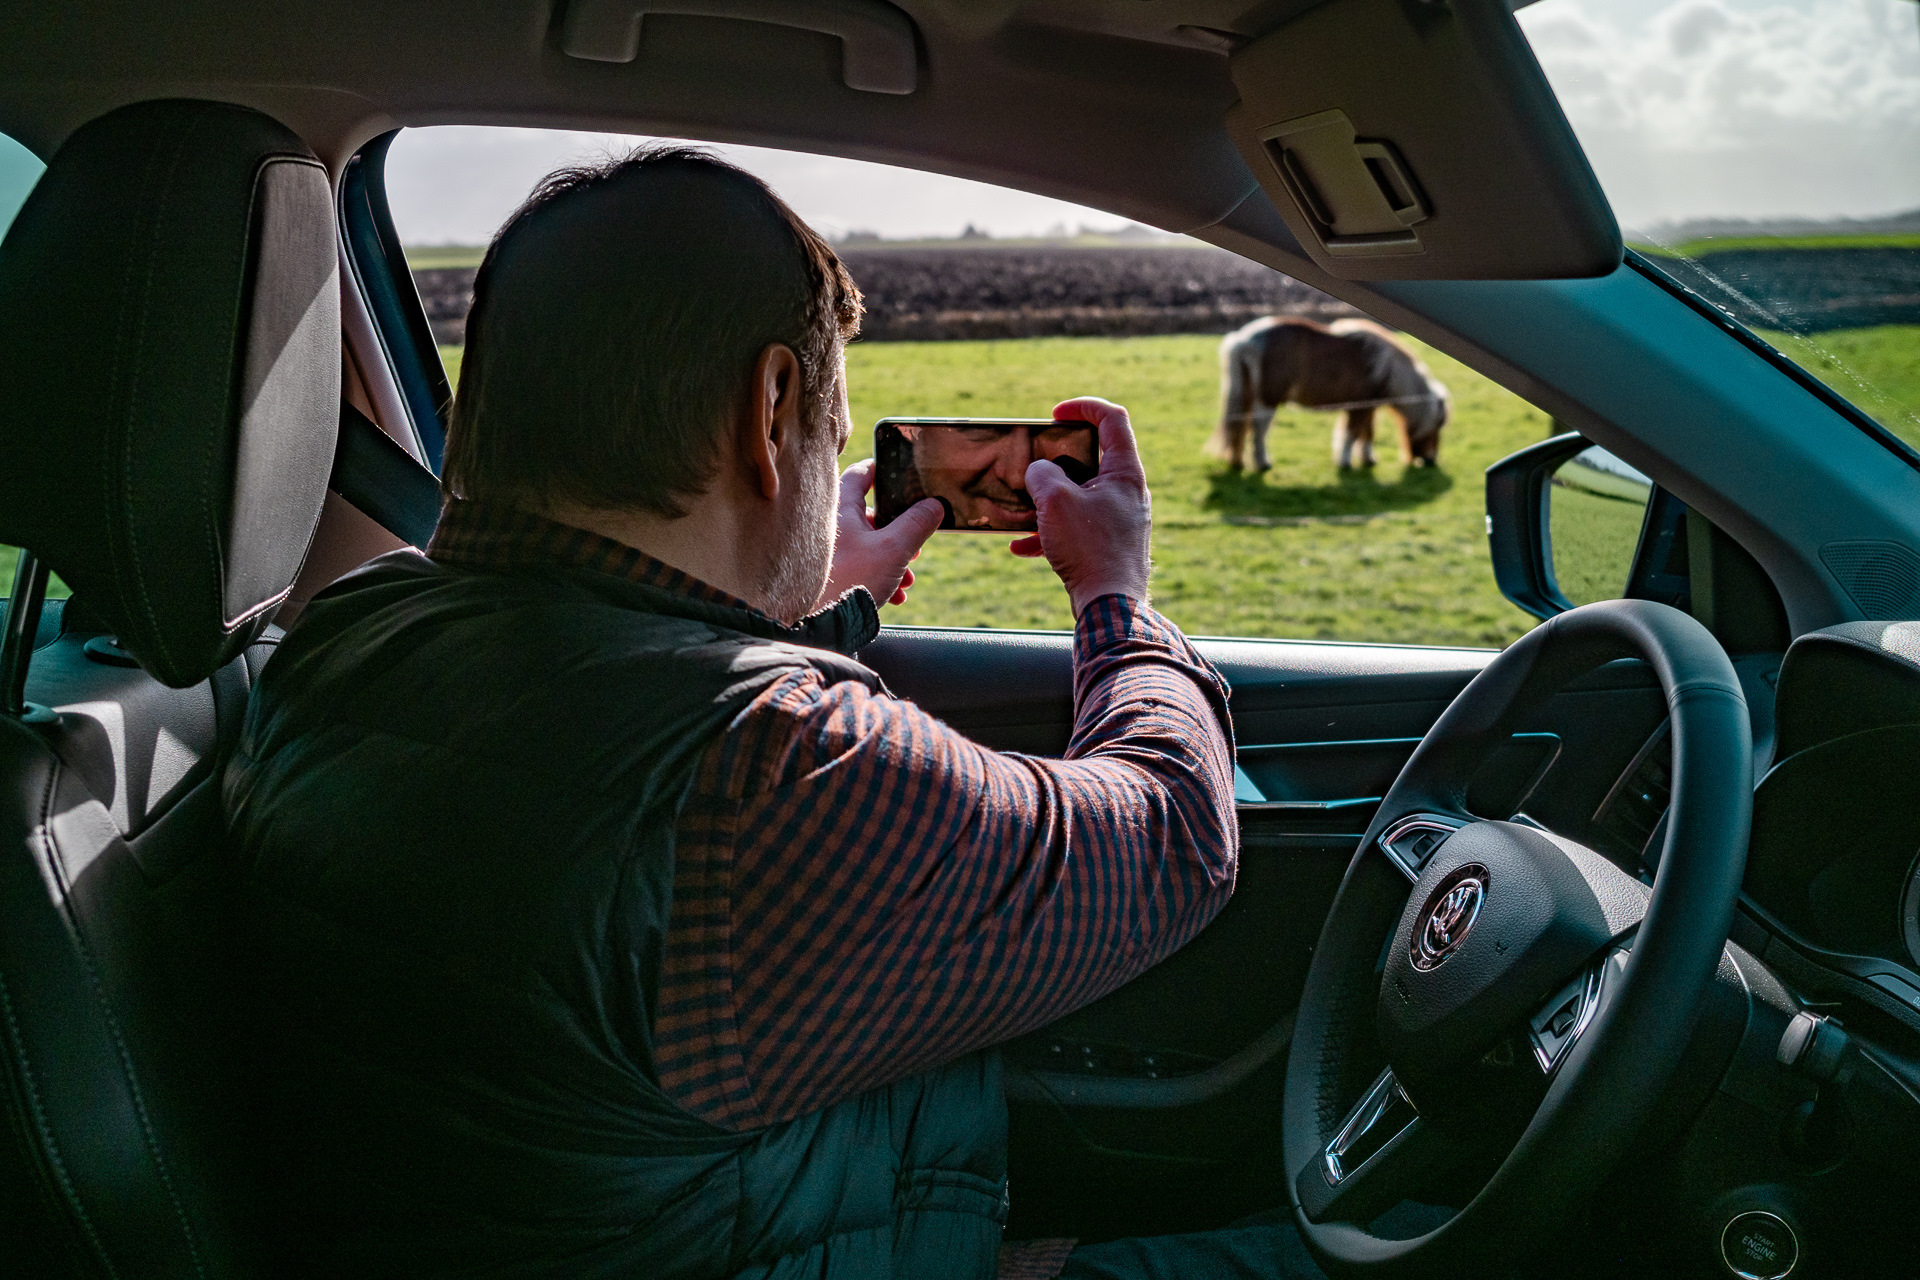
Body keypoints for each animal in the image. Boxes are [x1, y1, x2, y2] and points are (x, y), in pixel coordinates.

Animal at [1205, 314, 1443, 470]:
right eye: (1438, 426)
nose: (1430, 461)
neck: (1385, 366)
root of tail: (1244, 339)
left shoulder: (1367, 407)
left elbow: (1367, 432)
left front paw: (1368, 460)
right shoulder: (1359, 408)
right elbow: (1352, 434)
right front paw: (1345, 463)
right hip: (1268, 400)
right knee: (1259, 430)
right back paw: (1263, 463)